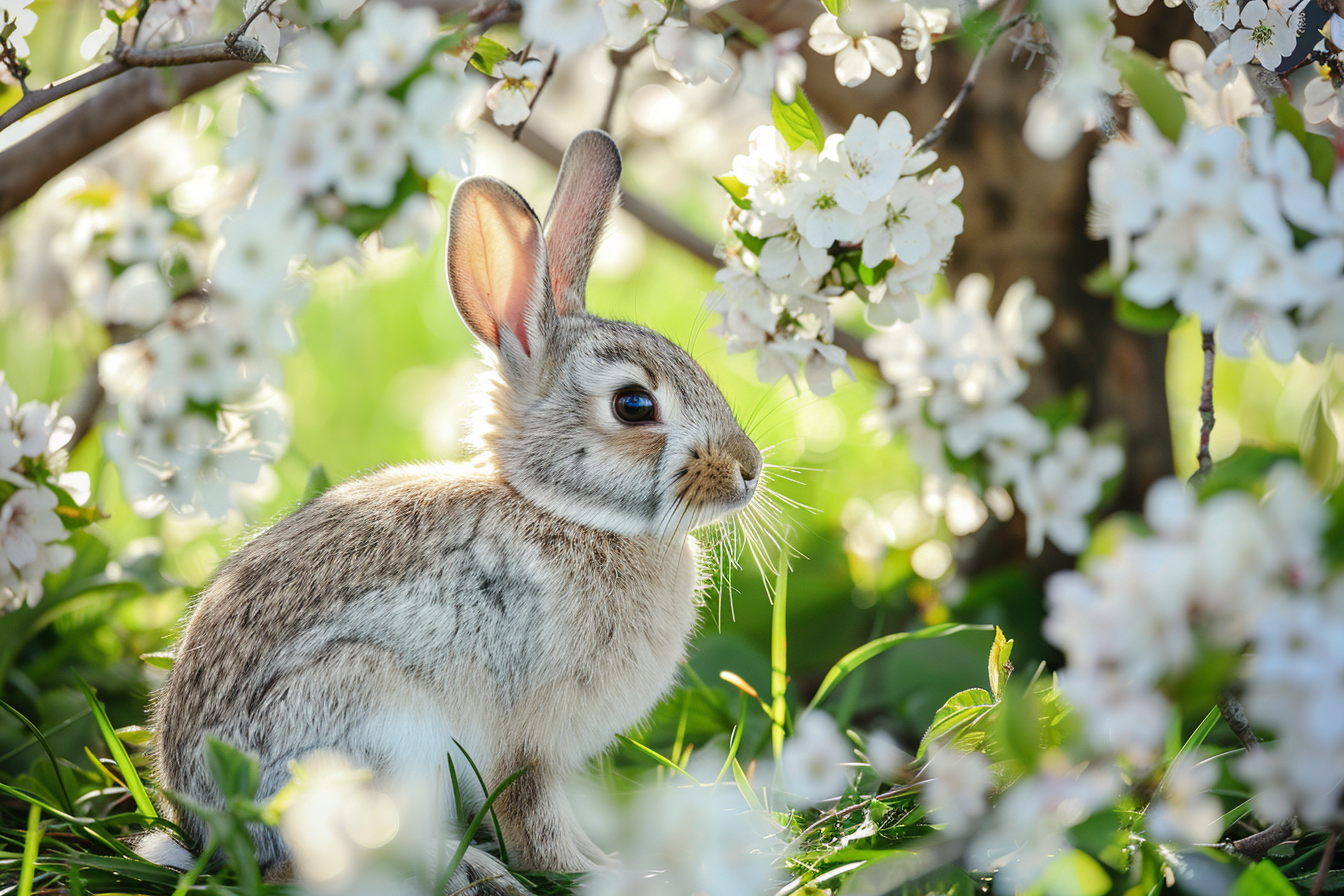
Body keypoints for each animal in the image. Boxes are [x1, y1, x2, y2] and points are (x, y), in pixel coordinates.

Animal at [138, 129, 763, 894]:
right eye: (634, 405)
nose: (748, 469)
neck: (564, 511)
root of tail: (209, 833)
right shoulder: (526, 739)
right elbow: (535, 816)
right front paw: (588, 872)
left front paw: (606, 860)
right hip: (375, 721)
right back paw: (473, 870)